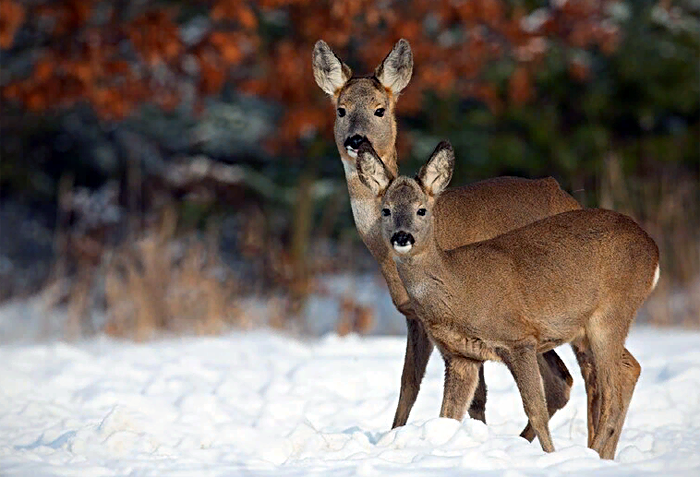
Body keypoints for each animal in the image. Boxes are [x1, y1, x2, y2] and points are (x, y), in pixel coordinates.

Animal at [314, 36, 576, 436]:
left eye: (379, 109)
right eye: (341, 109)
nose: (356, 140)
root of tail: (567, 196)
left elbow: (466, 391)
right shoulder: (413, 315)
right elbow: (409, 383)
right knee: (565, 380)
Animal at [358, 140, 660, 458]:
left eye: (422, 210)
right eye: (386, 210)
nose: (402, 237)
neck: (458, 288)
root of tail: (653, 249)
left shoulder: (519, 339)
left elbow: (535, 410)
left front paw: (549, 456)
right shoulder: (461, 357)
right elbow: (447, 416)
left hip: (611, 314)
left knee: (612, 391)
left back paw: (595, 454)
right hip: (588, 330)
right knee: (629, 369)